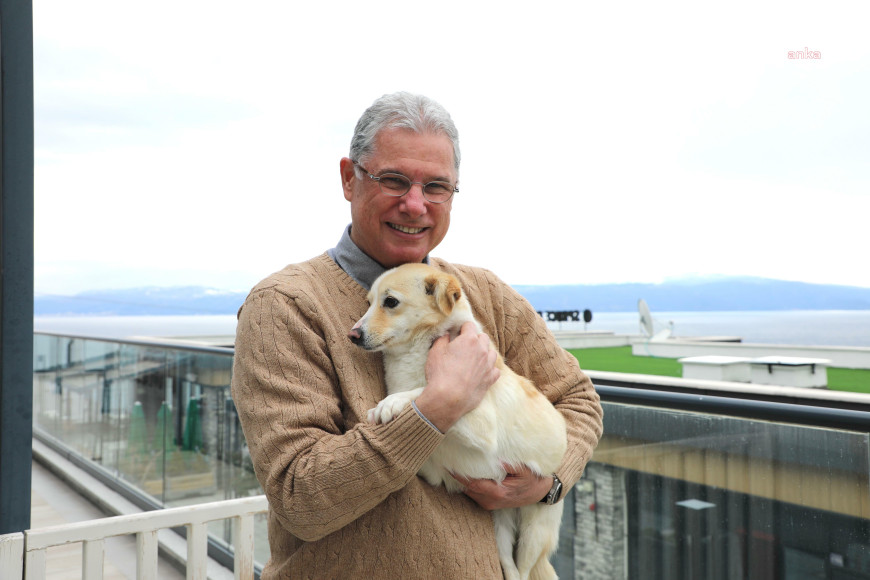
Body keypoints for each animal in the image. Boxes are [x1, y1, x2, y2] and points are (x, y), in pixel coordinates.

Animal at [350, 264, 568, 580]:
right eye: (368, 302)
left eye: (390, 302)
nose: (352, 335)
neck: (415, 352)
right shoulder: (435, 470)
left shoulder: (480, 420)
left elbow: (423, 391)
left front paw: (393, 402)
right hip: (500, 526)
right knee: (511, 566)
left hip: (533, 531)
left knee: (526, 569)